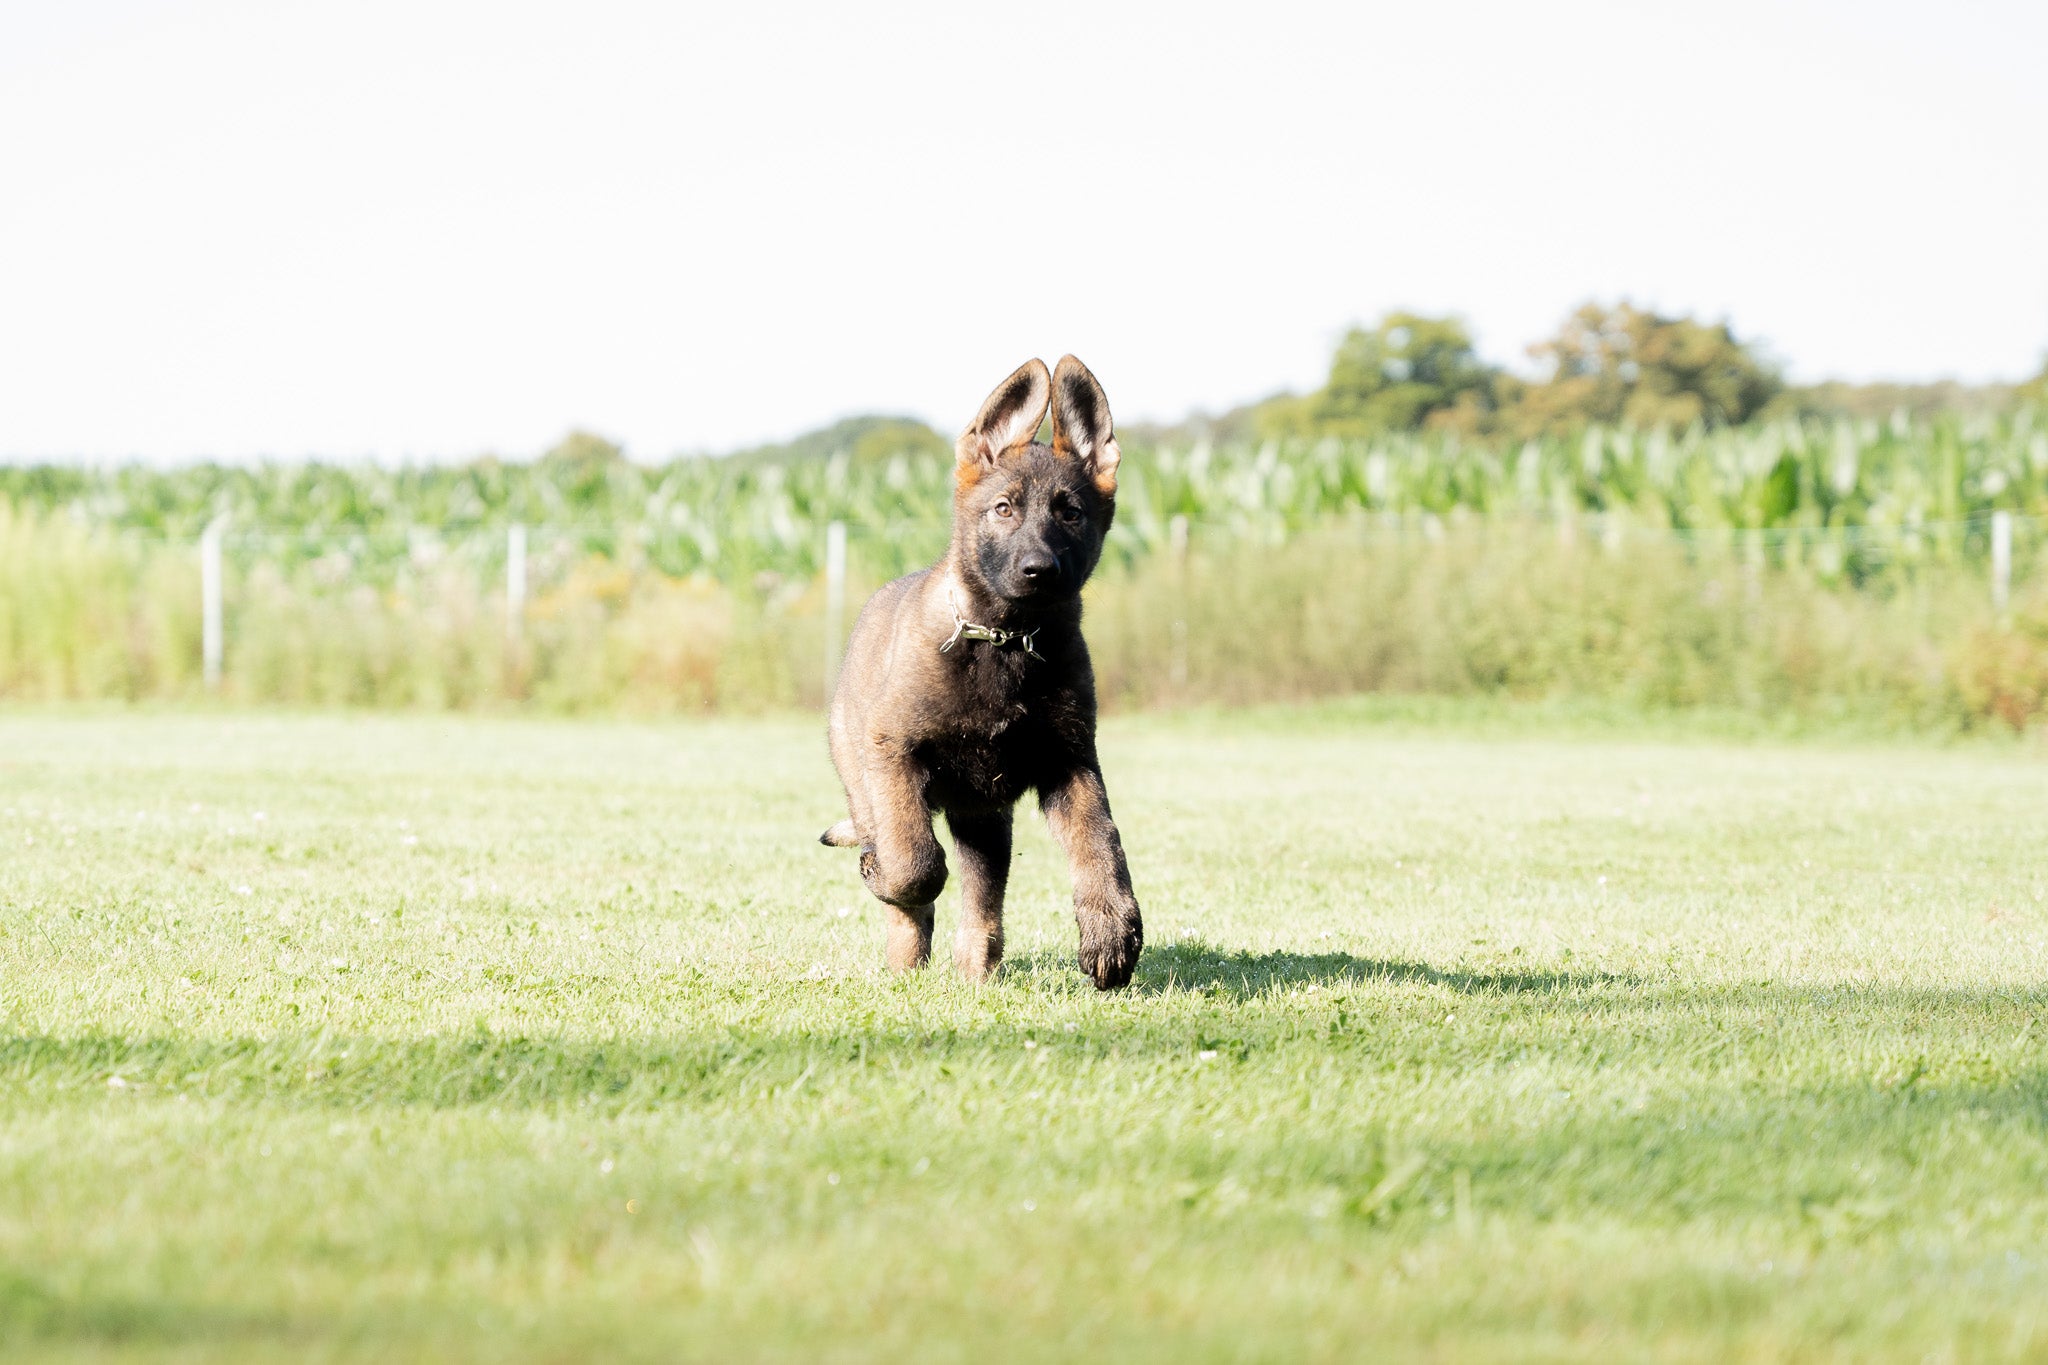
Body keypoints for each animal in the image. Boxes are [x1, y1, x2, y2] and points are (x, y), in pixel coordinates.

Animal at [815, 358, 1146, 986]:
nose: (1040, 570)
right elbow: (915, 861)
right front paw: (887, 877)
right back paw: (905, 956)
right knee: (906, 874)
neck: (1005, 641)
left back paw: (976, 969)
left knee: (982, 901)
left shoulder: (1071, 762)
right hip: (870, 780)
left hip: (985, 821)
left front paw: (1110, 930)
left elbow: (1100, 842)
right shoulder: (893, 754)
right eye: (1004, 508)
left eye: (1071, 513)